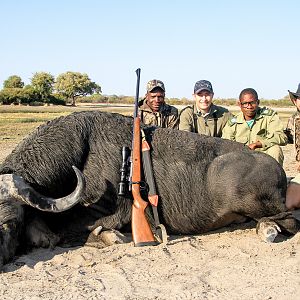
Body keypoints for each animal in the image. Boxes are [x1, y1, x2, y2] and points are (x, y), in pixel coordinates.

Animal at [0, 110, 298, 270]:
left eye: (11, 222)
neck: (81, 152)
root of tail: (278, 169)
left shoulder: (105, 213)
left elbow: (71, 231)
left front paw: (109, 237)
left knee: (289, 221)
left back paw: (268, 229)